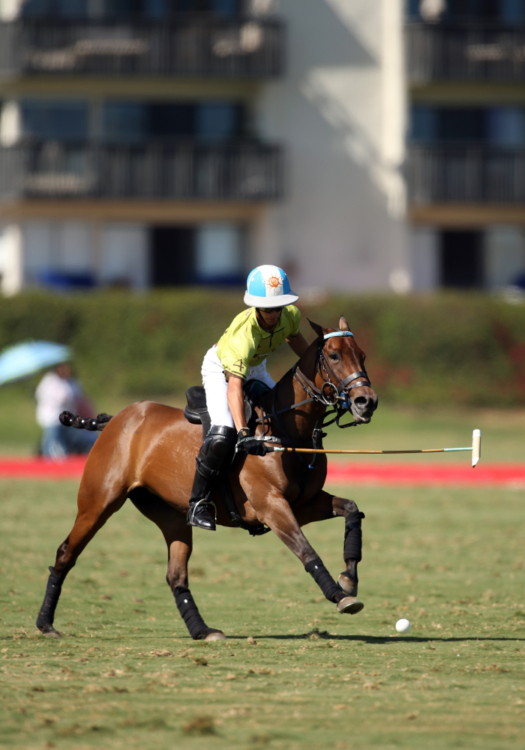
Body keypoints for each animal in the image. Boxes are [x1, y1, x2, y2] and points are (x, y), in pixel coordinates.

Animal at [35, 316, 376, 640]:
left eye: (362, 355)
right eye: (333, 355)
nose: (366, 401)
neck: (287, 430)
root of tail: (115, 419)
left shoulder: (303, 504)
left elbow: (351, 509)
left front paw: (349, 578)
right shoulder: (271, 506)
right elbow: (306, 550)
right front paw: (340, 596)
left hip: (171, 515)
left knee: (176, 575)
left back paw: (203, 631)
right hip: (98, 502)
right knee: (66, 552)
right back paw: (45, 624)